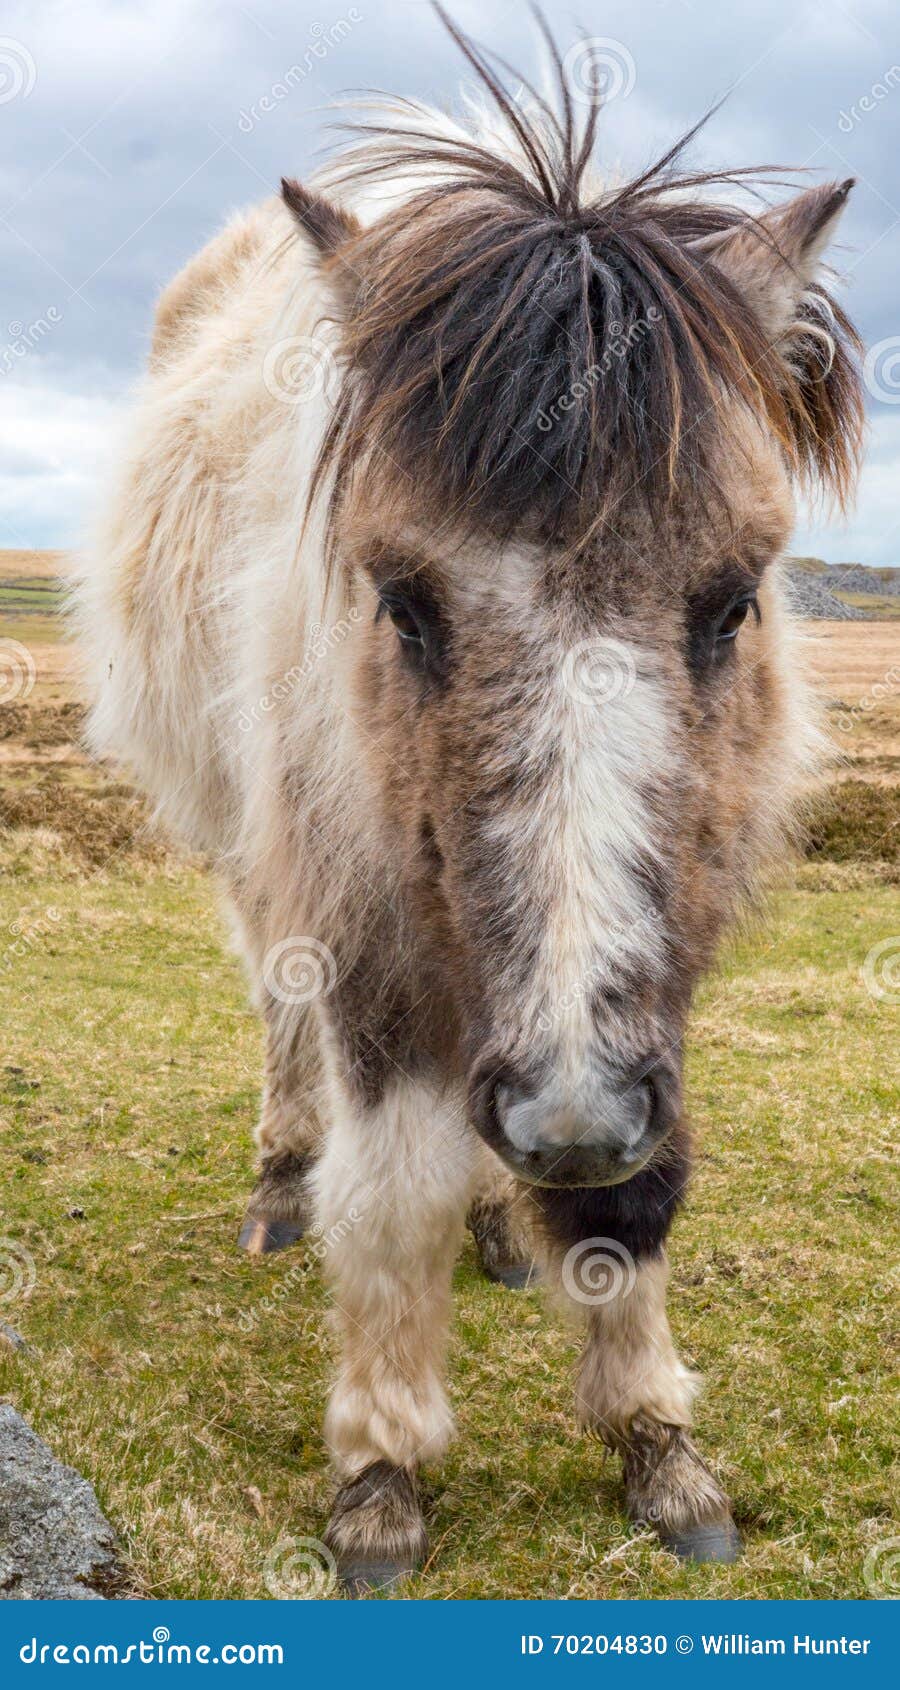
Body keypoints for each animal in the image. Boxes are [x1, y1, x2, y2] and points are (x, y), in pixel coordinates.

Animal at [75, 13, 863, 1593]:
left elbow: (635, 1198)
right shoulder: (367, 930)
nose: (563, 1119)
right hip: (262, 863)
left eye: (735, 598)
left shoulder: (658, 975)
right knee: (282, 1021)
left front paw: (659, 1449)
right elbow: (385, 1195)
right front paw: (382, 1471)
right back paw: (284, 1182)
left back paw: (504, 1219)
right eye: (402, 601)